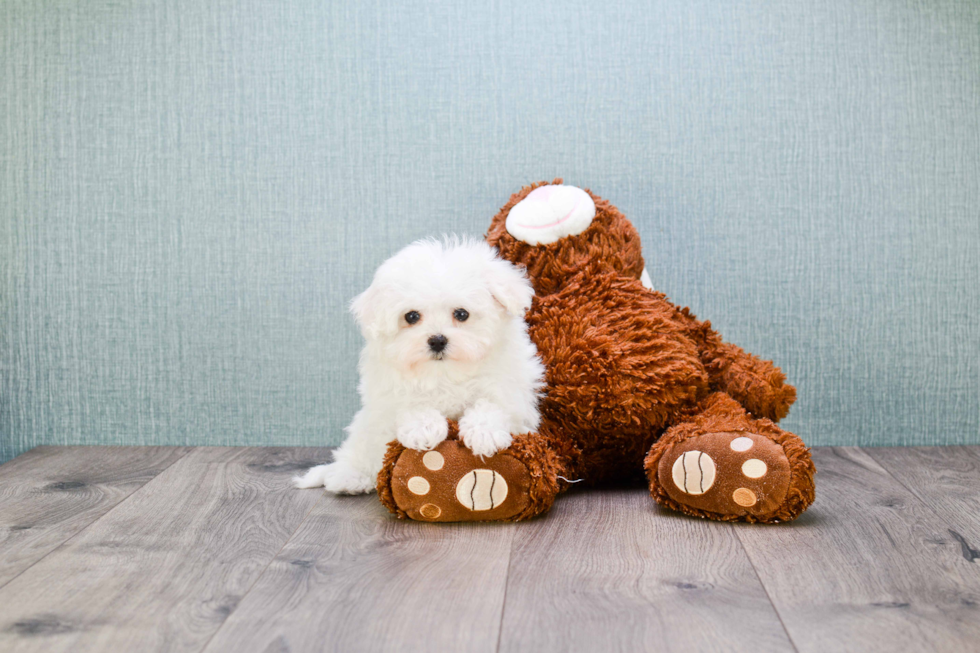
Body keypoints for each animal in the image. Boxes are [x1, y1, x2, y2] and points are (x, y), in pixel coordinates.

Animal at [294, 237, 548, 492]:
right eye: (412, 316)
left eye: (462, 314)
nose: (437, 340)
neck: (445, 373)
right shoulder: (387, 393)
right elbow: (409, 402)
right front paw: (424, 428)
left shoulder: (513, 390)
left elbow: (494, 404)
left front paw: (484, 432)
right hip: (365, 432)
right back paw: (348, 476)